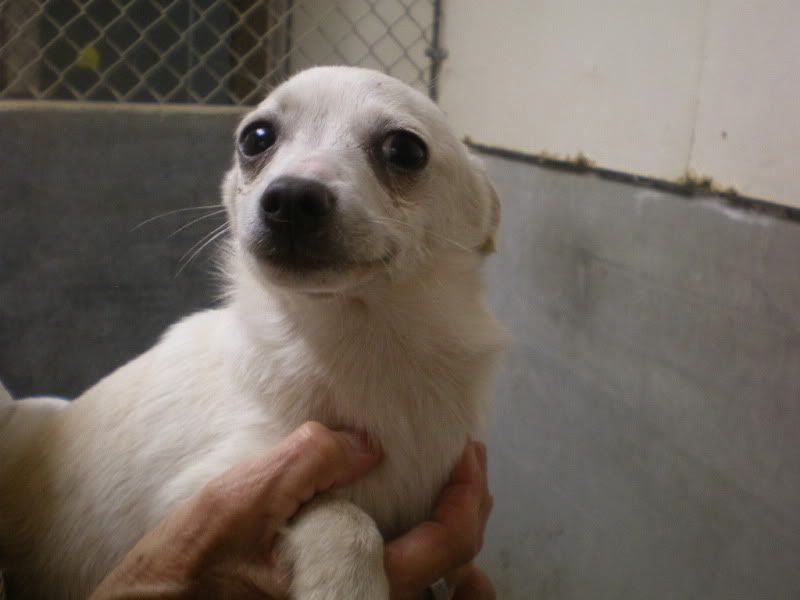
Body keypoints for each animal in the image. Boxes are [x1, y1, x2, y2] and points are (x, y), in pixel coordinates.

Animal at [0, 67, 506, 600]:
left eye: (406, 150)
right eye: (256, 138)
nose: (292, 198)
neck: (361, 336)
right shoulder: (202, 491)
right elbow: (340, 511)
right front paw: (347, 581)